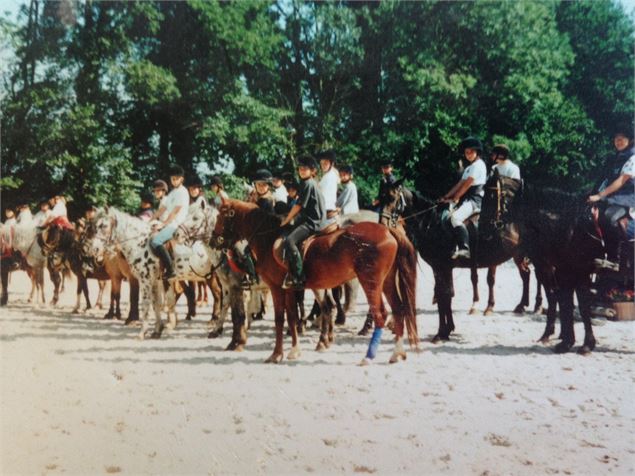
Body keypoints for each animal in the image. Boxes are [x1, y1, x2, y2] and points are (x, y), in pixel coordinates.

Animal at [214, 197, 422, 364]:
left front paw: (277, 354)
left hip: (370, 282)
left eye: (221, 216)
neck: (268, 238)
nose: (213, 240)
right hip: (386, 281)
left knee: (381, 314)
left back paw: (369, 356)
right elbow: (291, 317)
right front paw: (293, 350)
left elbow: (281, 319)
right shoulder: (290, 289)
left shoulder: (277, 288)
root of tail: (388, 231)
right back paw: (397, 353)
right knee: (398, 309)